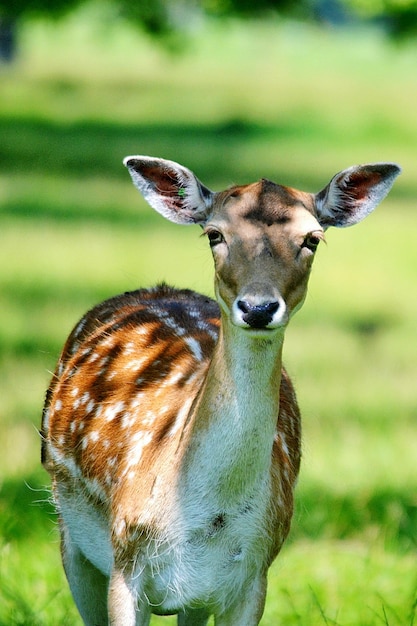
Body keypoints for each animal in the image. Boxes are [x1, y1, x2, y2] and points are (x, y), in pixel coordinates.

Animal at [40, 154, 398, 620]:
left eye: (312, 239)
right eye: (215, 234)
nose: (258, 307)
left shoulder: (253, 573)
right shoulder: (125, 559)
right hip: (70, 531)